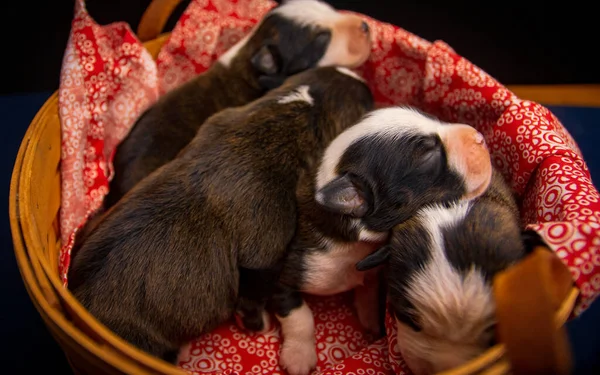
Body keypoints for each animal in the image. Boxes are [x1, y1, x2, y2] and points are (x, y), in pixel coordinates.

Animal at [67, 67, 376, 364]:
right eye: (367, 106)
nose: (366, 80)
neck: (300, 110)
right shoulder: (264, 254)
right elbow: (254, 292)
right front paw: (255, 322)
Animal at [241, 106, 494, 375]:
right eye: (429, 156)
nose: (479, 136)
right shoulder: (286, 273)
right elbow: (299, 315)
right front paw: (299, 357)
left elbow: (369, 291)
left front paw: (371, 320)